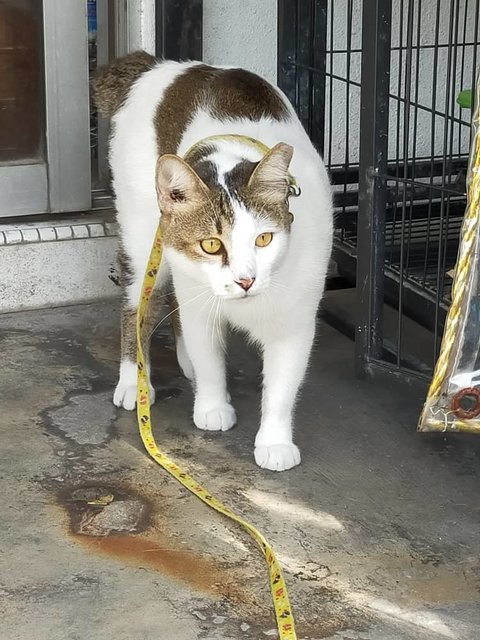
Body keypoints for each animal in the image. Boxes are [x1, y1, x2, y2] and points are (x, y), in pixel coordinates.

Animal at [94, 51, 334, 470]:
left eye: (264, 239)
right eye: (210, 244)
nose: (245, 280)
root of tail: (159, 64)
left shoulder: (294, 323)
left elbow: (282, 387)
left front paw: (274, 442)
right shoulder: (198, 302)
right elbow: (208, 357)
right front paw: (212, 407)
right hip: (143, 239)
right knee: (138, 307)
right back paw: (133, 381)